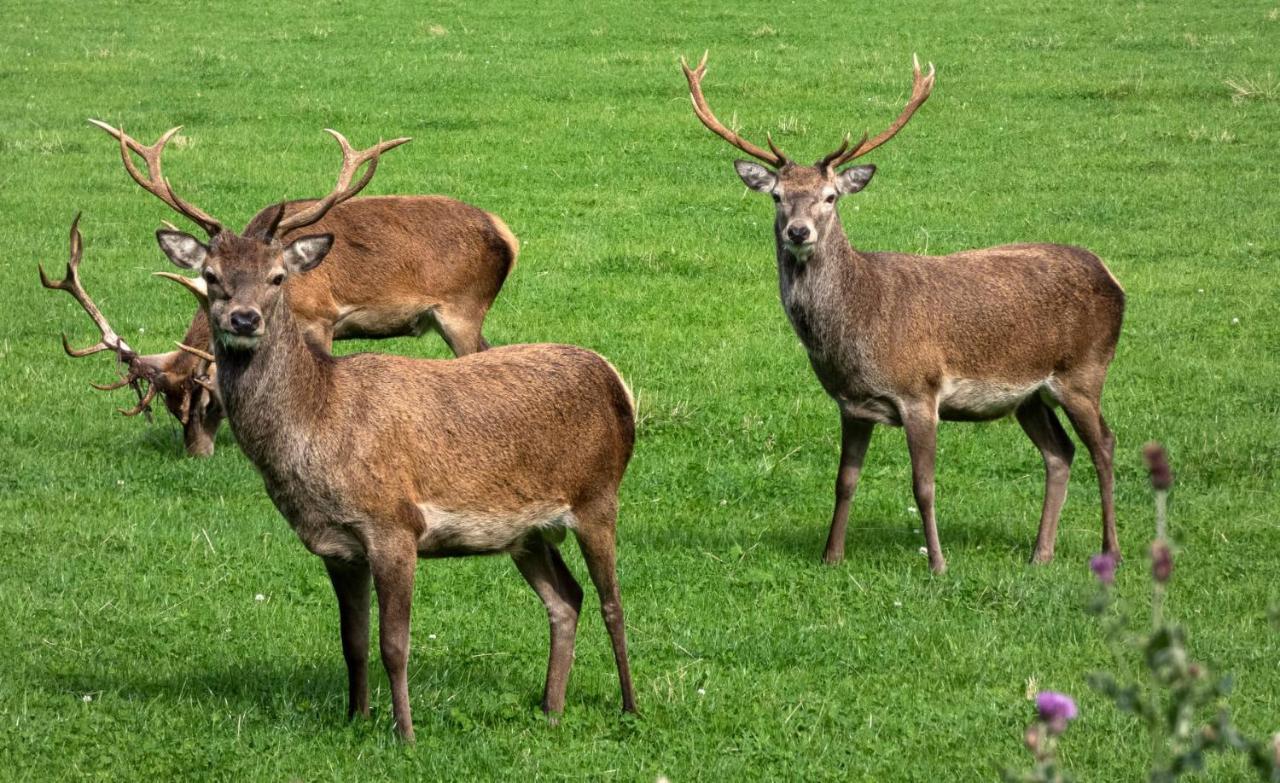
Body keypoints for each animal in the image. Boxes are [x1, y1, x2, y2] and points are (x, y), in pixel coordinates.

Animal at [41, 118, 519, 455]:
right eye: (169, 406)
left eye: (205, 399)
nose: (196, 453)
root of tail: (507, 235)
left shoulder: (323, 317)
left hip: (462, 309)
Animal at [122, 126, 637, 742]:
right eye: (212, 277)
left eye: (277, 278)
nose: (244, 319)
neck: (319, 428)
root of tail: (618, 384)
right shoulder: (336, 546)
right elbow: (353, 642)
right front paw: (356, 717)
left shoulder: (395, 525)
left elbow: (395, 644)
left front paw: (405, 733)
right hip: (528, 532)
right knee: (566, 599)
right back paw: (550, 707)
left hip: (597, 496)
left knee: (612, 601)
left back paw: (630, 706)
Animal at [680, 52, 1121, 573]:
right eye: (777, 196)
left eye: (830, 197)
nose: (798, 232)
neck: (858, 327)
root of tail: (1112, 277)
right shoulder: (851, 404)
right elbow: (844, 482)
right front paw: (831, 556)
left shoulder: (920, 393)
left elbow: (923, 486)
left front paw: (938, 564)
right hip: (1029, 396)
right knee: (1060, 453)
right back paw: (1040, 553)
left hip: (1084, 373)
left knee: (1104, 445)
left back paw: (1110, 549)